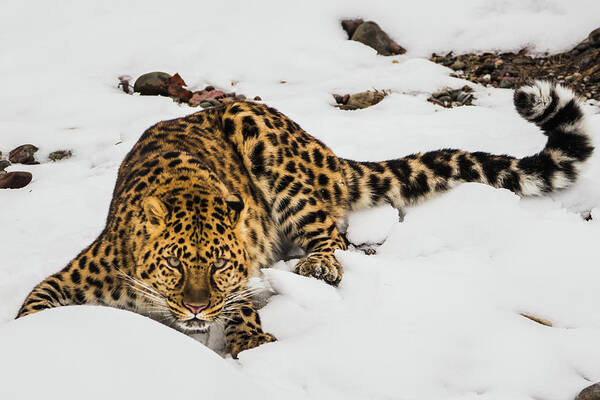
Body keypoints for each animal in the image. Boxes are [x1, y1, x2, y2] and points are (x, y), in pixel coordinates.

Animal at [15, 82, 596, 356]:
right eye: (175, 266)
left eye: (220, 267)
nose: (198, 307)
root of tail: (318, 145)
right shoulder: (67, 279)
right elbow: (31, 314)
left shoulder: (242, 281)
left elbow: (243, 310)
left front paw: (252, 344)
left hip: (262, 140)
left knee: (333, 236)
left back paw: (318, 267)